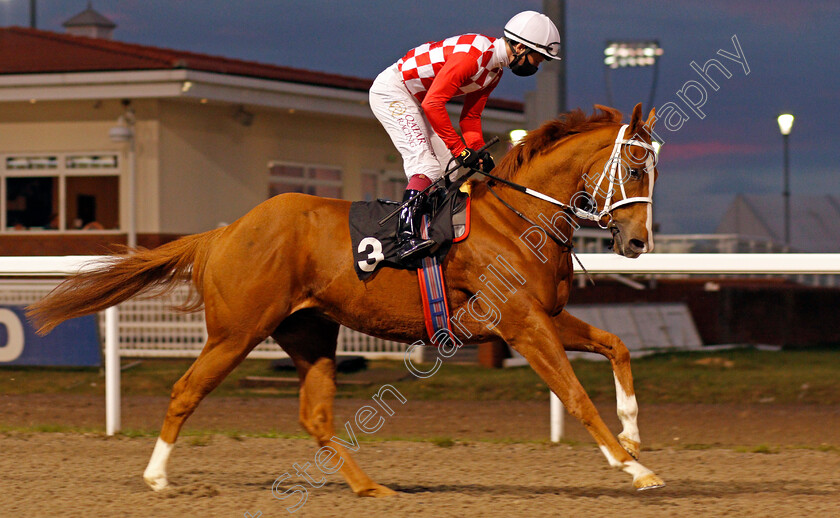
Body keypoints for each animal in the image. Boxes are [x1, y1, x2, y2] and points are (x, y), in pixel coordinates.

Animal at [29, 103, 668, 498]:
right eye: (637, 166)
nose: (638, 243)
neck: (520, 218)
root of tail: (226, 231)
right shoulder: (520, 323)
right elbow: (575, 395)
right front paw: (635, 468)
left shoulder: (546, 316)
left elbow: (617, 345)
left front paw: (634, 435)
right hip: (235, 332)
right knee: (186, 390)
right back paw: (157, 477)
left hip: (309, 333)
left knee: (314, 415)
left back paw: (368, 486)